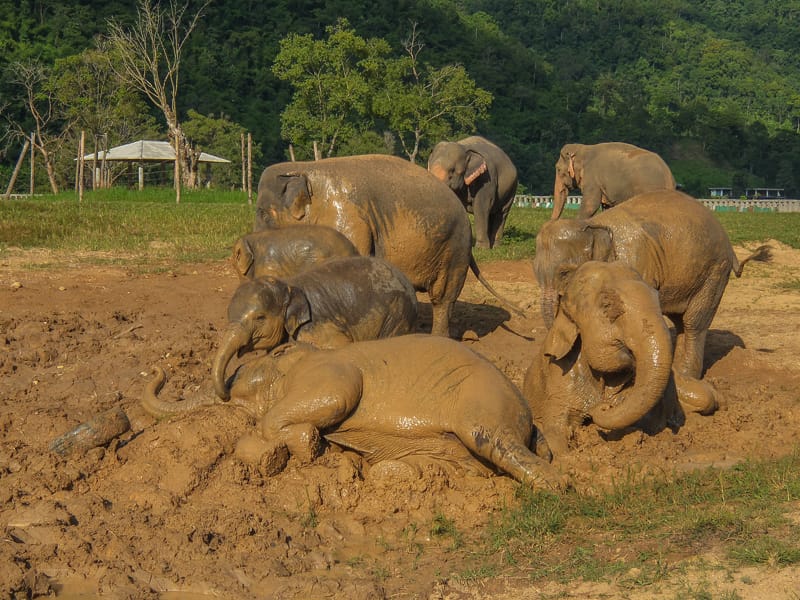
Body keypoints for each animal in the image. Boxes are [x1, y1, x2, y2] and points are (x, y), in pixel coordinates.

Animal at [144, 334, 567, 491]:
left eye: (241, 376)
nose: (155, 371)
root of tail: (526, 417)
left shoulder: (327, 374)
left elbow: (337, 398)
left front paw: (308, 444)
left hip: (481, 407)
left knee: (497, 442)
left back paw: (557, 486)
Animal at [523, 261, 717, 456]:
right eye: (608, 305)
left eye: (658, 298)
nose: (602, 407)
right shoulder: (559, 378)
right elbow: (555, 429)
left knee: (705, 397)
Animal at [533, 189, 772, 393]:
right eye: (535, 272)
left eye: (564, 272)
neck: (591, 224)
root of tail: (731, 248)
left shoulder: (635, 261)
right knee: (681, 321)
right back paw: (677, 372)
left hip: (715, 271)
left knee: (694, 323)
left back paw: (686, 375)